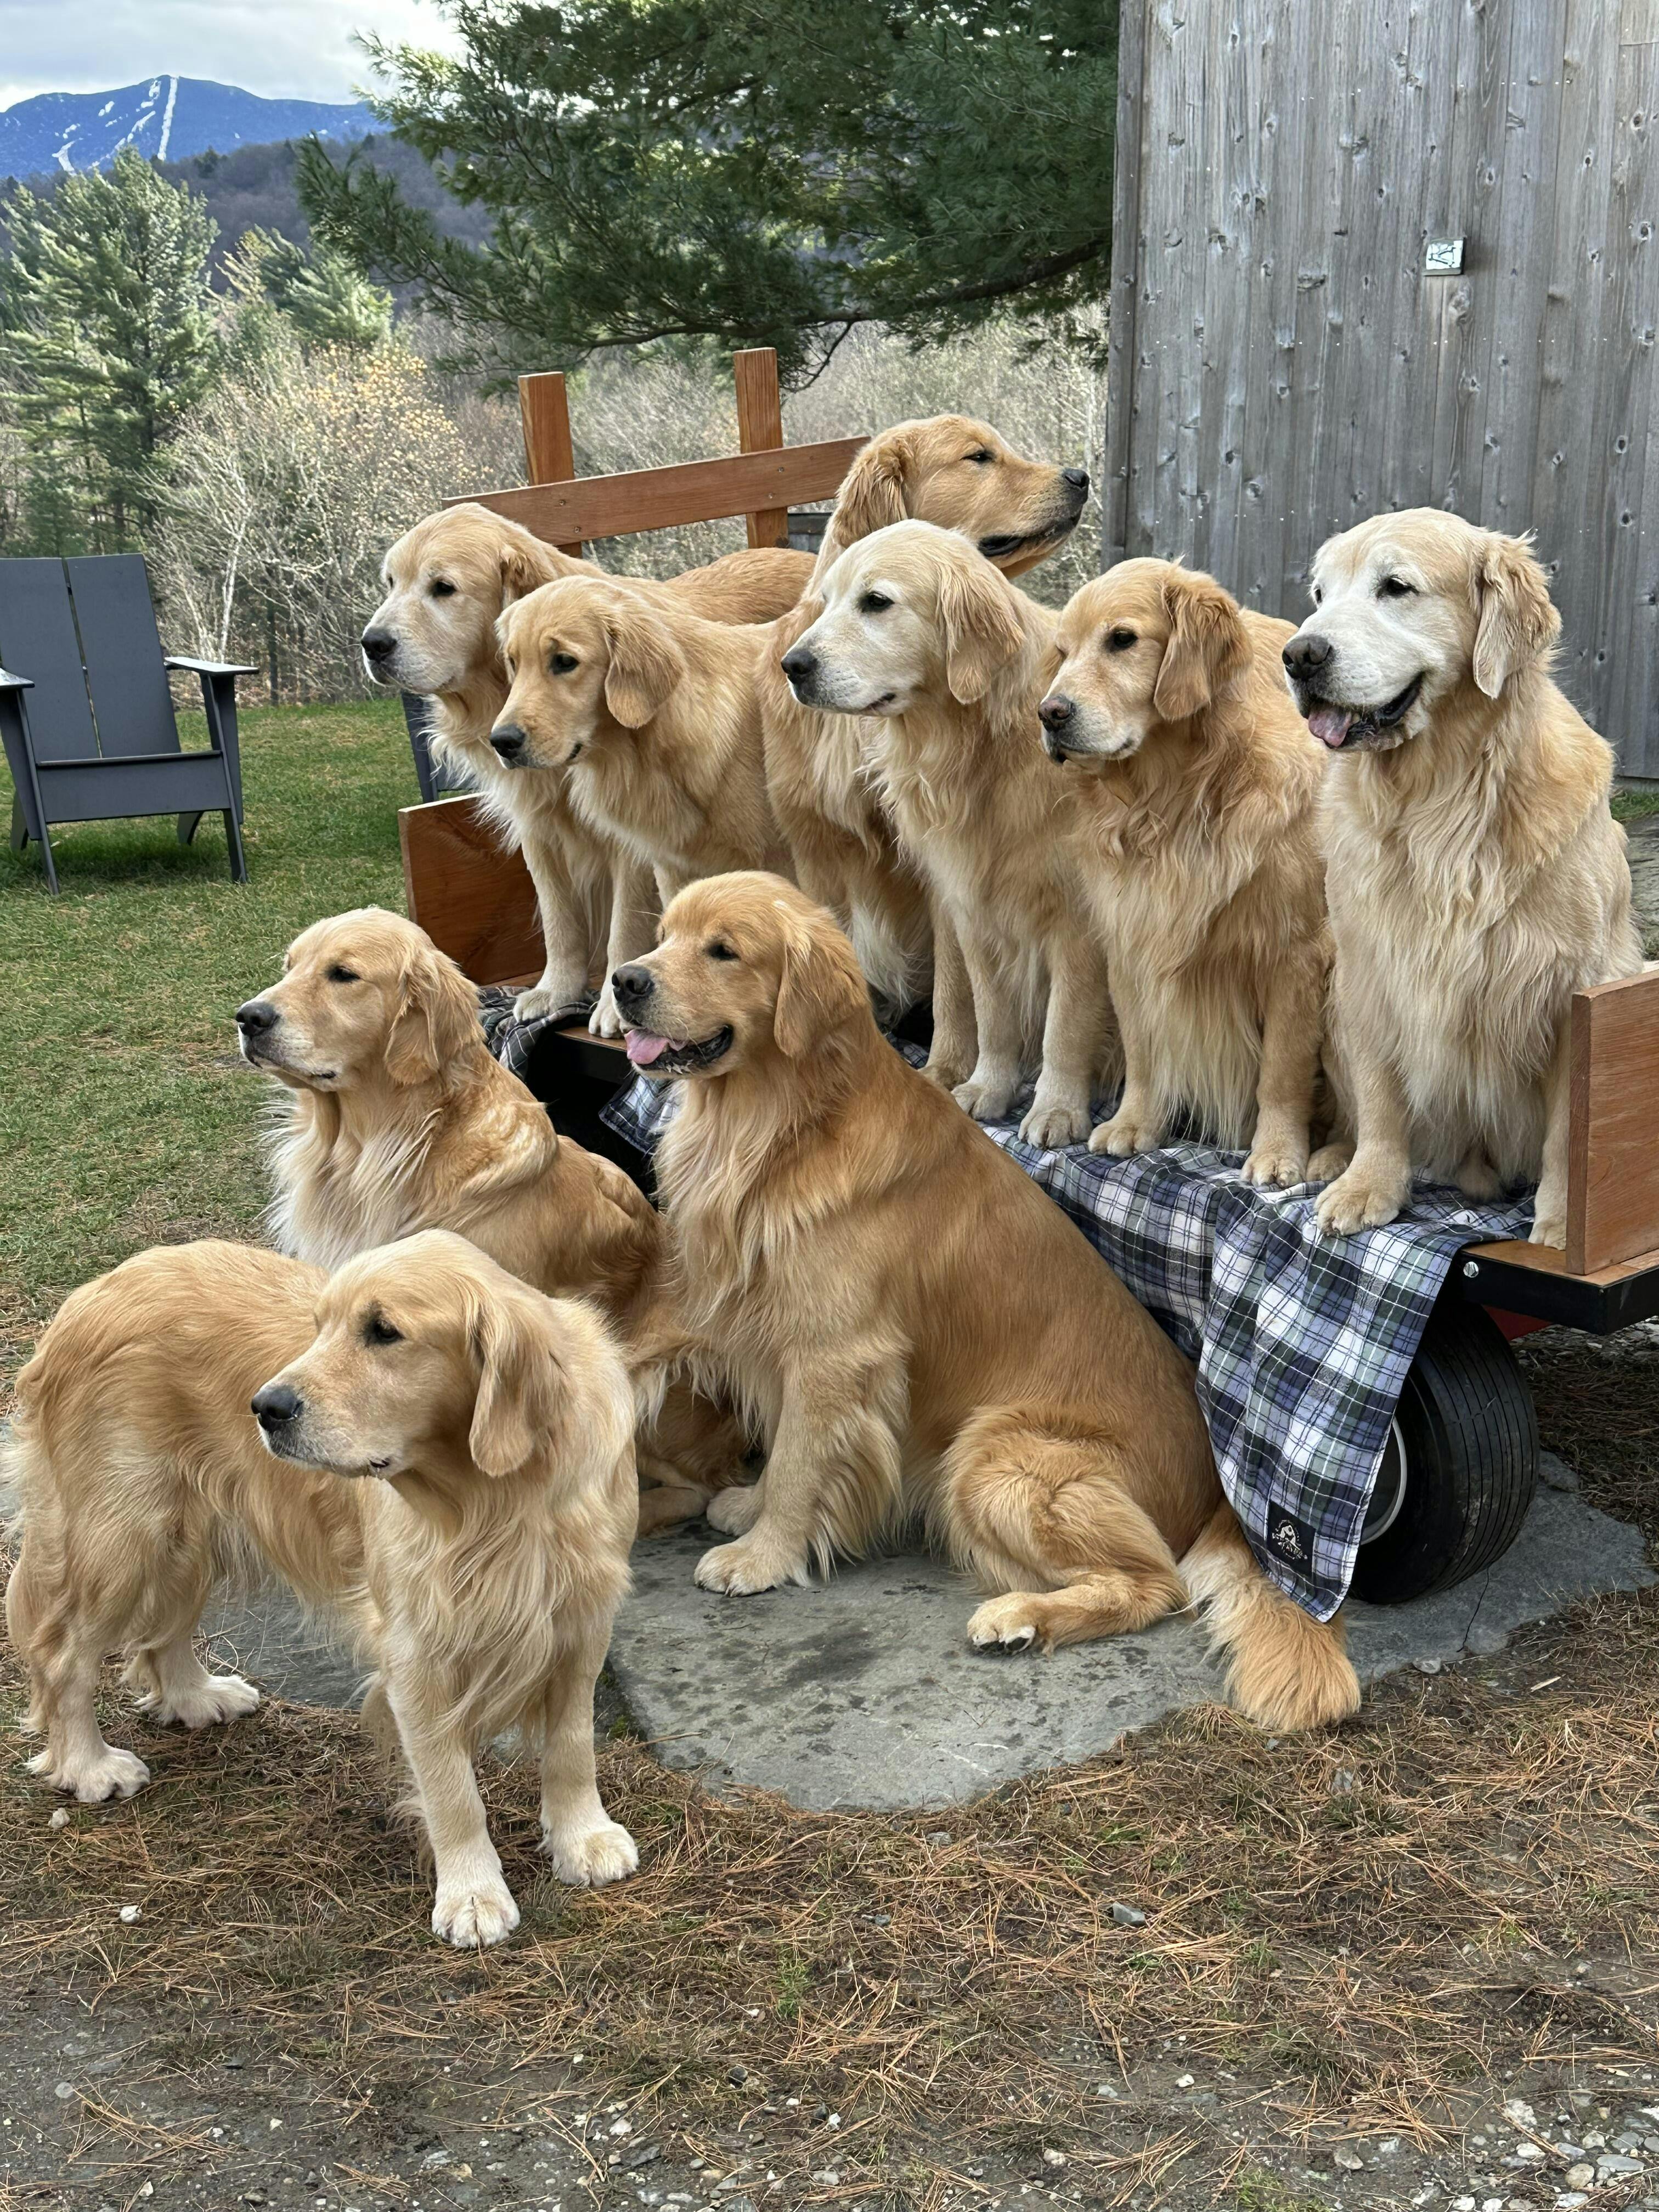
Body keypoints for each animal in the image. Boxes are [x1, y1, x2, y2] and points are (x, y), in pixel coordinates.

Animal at [4, 1231, 639, 1946]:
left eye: (384, 1331)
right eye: (320, 1327)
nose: (265, 1407)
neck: (498, 1499)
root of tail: (87, 1296)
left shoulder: (582, 1619)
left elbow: (572, 1745)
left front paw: (583, 1837)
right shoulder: (416, 1650)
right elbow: (451, 1787)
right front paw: (473, 1893)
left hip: (189, 1530)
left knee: (166, 1632)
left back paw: (197, 1698)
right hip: (122, 1538)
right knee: (64, 1658)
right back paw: (90, 1765)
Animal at [607, 873, 1360, 1734]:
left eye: (723, 950)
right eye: (663, 936)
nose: (623, 981)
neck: (781, 1124)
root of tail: (1218, 1497)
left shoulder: (838, 1352)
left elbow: (800, 1459)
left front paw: (764, 1556)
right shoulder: (780, 1338)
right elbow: (790, 1442)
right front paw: (753, 1509)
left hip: (992, 1456)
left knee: (1156, 1585)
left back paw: (1017, 1617)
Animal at [784, 520, 1115, 1147]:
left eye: (876, 602)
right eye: (827, 601)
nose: (792, 665)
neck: (976, 748)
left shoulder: (1078, 922)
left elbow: (1065, 1025)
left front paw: (1056, 1109)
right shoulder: (971, 907)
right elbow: (990, 1013)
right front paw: (987, 1087)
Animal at [1041, 561, 1342, 1185]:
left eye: (1122, 639)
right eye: (1062, 651)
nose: (1048, 714)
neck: (1176, 795)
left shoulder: (1297, 956)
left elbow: (1281, 1071)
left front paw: (1277, 1152)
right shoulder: (1131, 939)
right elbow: (1144, 1051)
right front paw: (1136, 1123)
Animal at [1281, 511, 1643, 1246]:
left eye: (1396, 587)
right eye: (1319, 594)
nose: (1299, 655)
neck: (1440, 804)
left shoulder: (1574, 992)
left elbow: (1569, 1132)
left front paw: (1562, 1227)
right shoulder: (1372, 970)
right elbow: (1382, 1095)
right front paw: (1368, 1185)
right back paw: (1333, 1158)